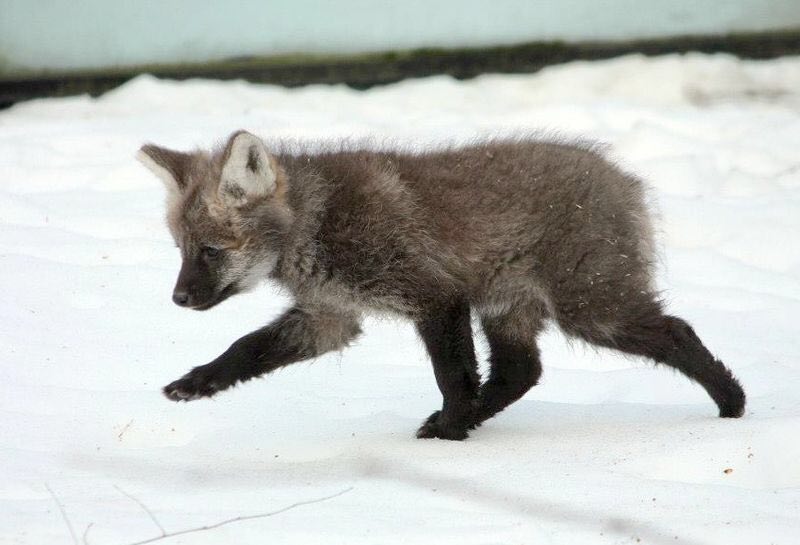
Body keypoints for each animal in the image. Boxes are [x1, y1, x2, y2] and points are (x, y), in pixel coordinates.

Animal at [137, 130, 746, 440]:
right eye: (182, 250)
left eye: (212, 251)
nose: (178, 299)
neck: (318, 225)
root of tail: (625, 179)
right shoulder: (330, 318)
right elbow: (243, 349)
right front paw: (196, 383)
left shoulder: (435, 297)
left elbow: (451, 378)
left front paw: (451, 437)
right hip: (509, 306)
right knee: (521, 372)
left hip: (592, 310)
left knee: (679, 332)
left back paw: (732, 403)